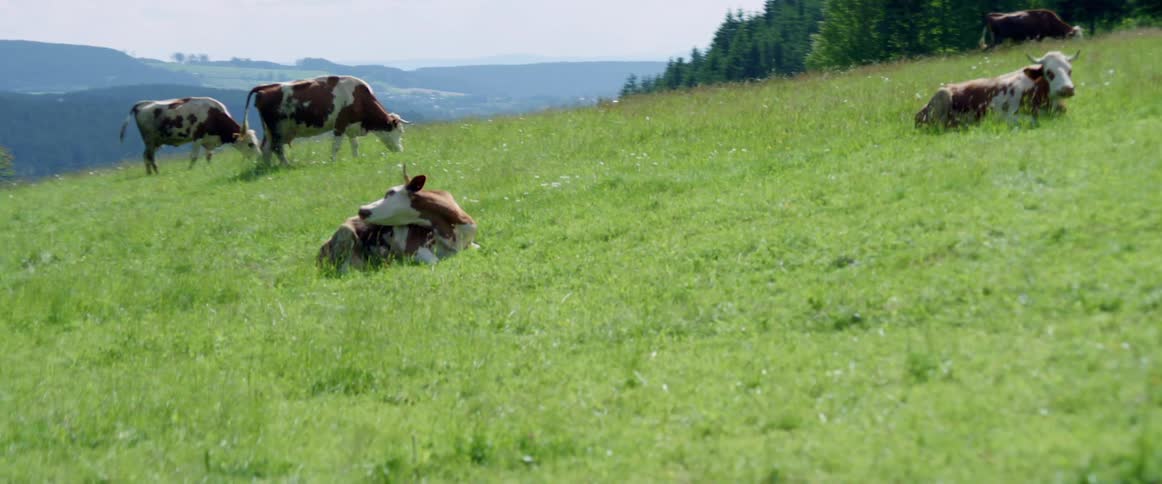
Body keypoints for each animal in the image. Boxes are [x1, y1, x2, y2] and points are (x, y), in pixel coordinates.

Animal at [119, 97, 260, 175]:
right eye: (250, 144)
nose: (259, 157)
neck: (213, 115)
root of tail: (141, 104)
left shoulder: (209, 141)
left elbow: (209, 156)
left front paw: (209, 168)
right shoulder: (197, 137)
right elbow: (194, 157)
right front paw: (189, 170)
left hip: (156, 141)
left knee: (146, 156)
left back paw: (149, 173)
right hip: (150, 140)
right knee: (149, 156)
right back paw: (156, 172)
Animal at [242, 75, 408, 166]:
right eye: (399, 132)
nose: (400, 150)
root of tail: (264, 88)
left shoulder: (351, 126)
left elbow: (355, 145)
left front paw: (356, 159)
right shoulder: (340, 123)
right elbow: (336, 146)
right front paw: (333, 161)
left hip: (269, 130)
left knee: (266, 148)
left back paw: (267, 167)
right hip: (277, 129)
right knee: (276, 148)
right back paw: (286, 165)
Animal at [915, 50, 1079, 129]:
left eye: (1070, 70)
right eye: (1049, 72)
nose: (1068, 89)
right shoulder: (1008, 117)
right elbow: (1033, 121)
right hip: (943, 95)